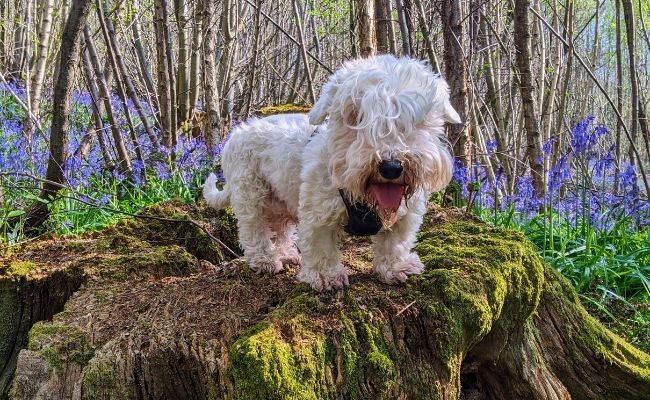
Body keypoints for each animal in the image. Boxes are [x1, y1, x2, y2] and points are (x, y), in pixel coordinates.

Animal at [202, 54, 460, 290]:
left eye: (415, 119)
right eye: (357, 117)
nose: (391, 167)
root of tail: (237, 133)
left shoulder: (404, 217)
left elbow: (394, 243)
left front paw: (395, 268)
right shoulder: (318, 213)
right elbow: (322, 246)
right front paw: (326, 277)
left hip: (282, 200)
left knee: (282, 228)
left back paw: (286, 254)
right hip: (251, 193)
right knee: (254, 229)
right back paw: (264, 260)